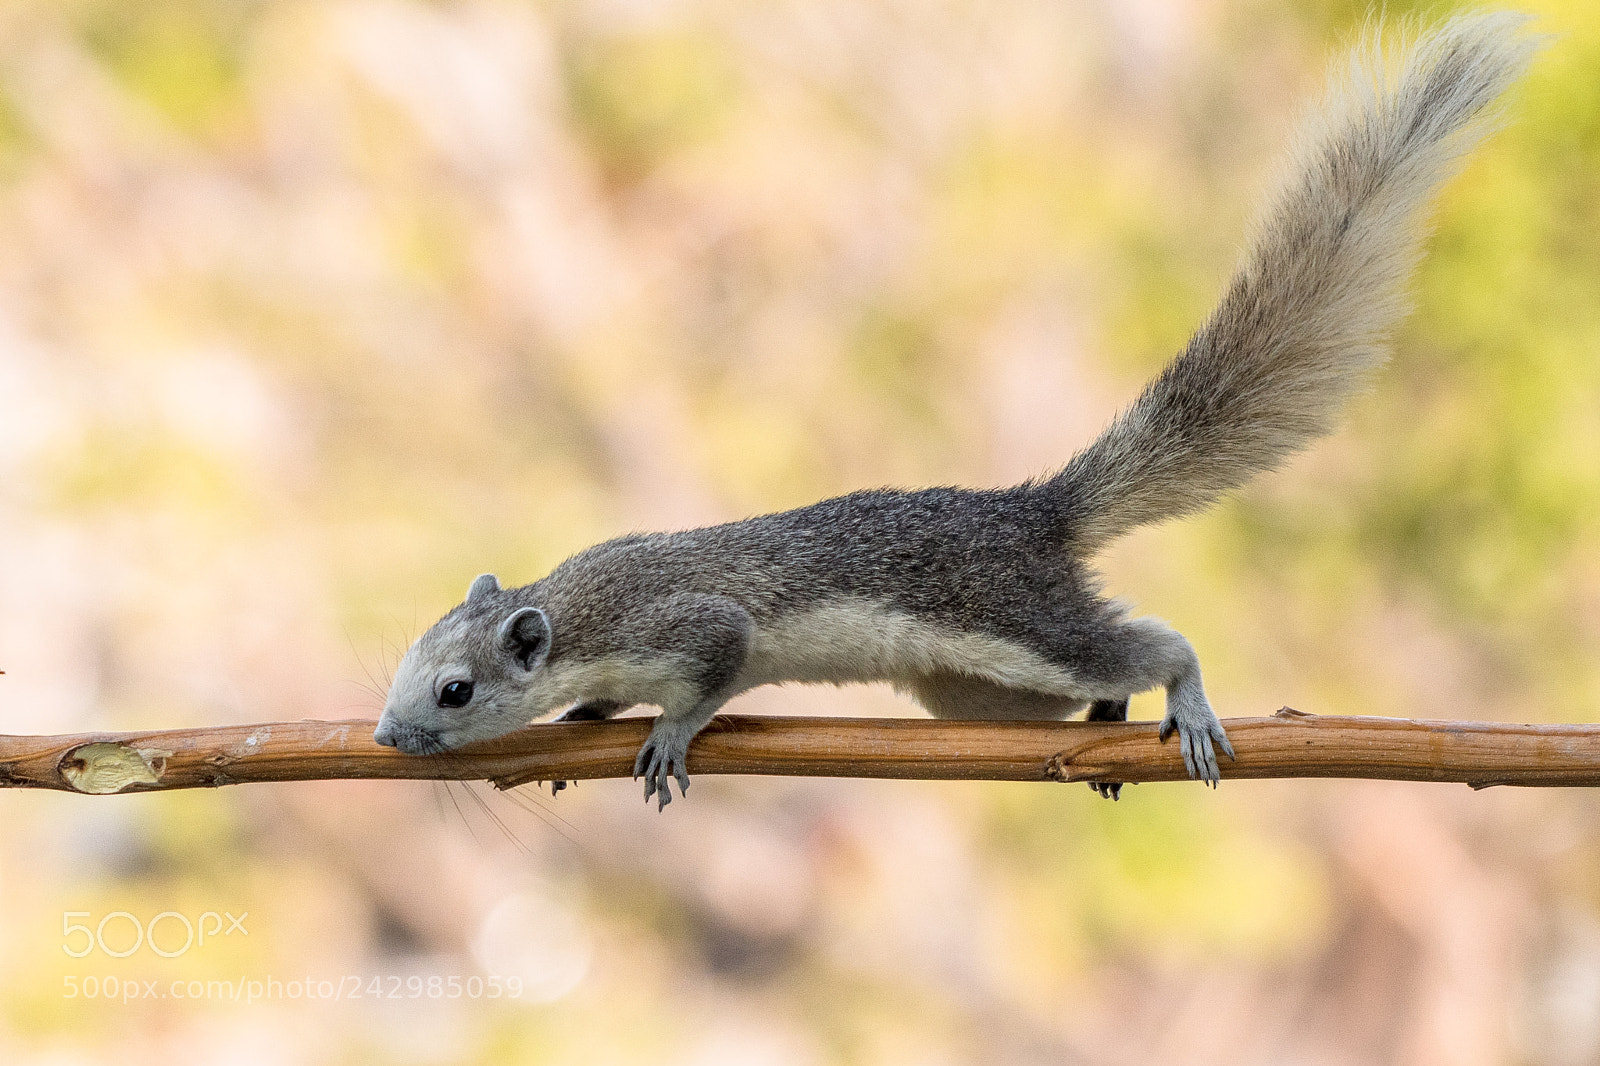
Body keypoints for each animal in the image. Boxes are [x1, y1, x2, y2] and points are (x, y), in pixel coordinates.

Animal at [374, 13, 1541, 808]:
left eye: (456, 692)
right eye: (407, 662)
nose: (385, 737)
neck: (581, 611)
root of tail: (1037, 510)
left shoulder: (697, 624)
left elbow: (711, 674)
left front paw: (665, 737)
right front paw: (590, 718)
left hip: (1021, 622)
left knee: (1153, 642)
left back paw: (1184, 705)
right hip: (974, 691)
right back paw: (1108, 729)